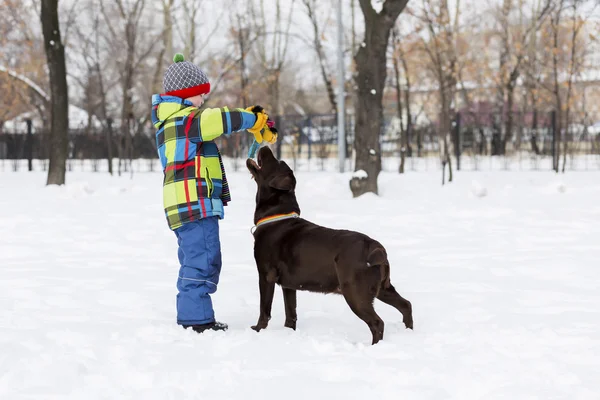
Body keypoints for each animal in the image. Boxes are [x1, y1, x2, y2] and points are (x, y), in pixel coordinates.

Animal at [247, 147, 412, 344]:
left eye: (275, 161)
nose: (265, 147)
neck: (276, 216)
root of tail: (375, 247)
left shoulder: (266, 275)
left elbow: (264, 309)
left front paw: (257, 330)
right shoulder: (289, 285)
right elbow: (291, 313)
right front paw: (289, 333)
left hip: (355, 293)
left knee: (377, 323)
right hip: (382, 288)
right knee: (406, 305)